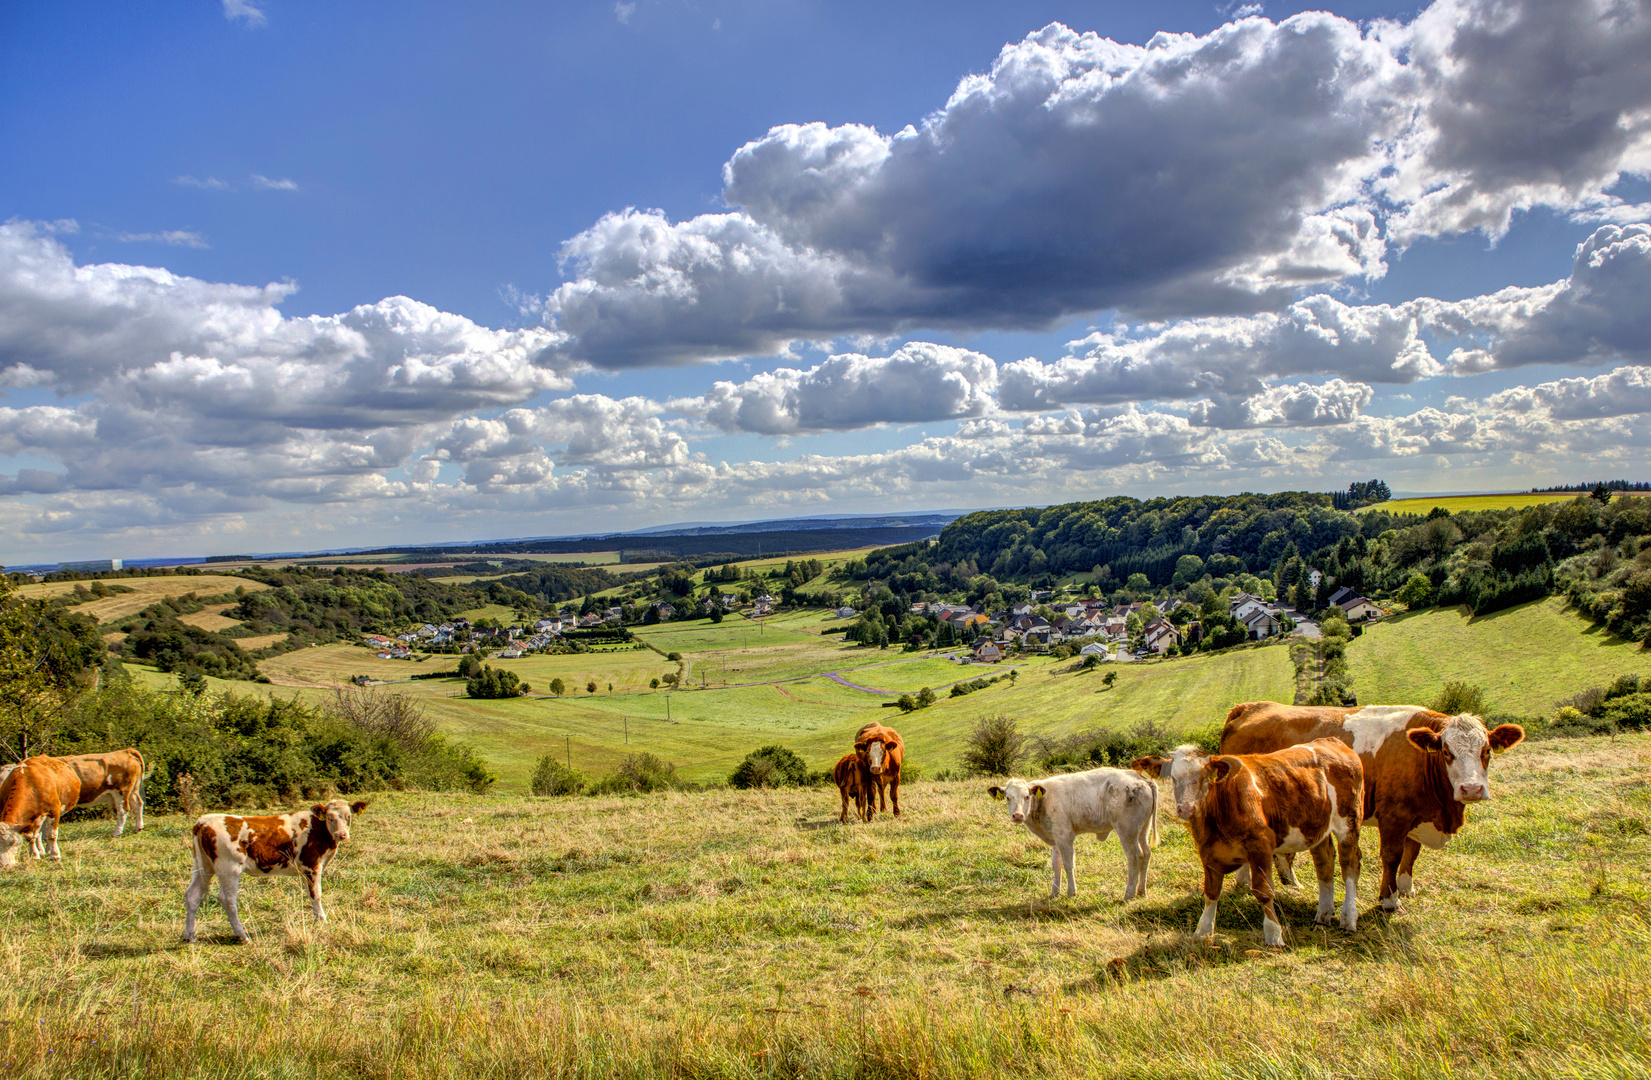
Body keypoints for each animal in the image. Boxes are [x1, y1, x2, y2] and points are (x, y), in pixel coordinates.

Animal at [185, 799, 369, 944]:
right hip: (230, 868)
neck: (318, 829)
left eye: (348, 816)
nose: (341, 834)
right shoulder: (311, 865)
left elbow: (309, 893)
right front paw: (322, 920)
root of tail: (203, 821)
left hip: (203, 866)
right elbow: (316, 894)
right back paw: (242, 936)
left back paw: (190, 936)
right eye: (330, 817)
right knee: (227, 899)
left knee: (193, 895)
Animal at [977, 769, 1162, 904]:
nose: (1017, 815)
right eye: (1008, 798)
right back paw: (1141, 891)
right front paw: (1054, 892)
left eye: (1027, 796)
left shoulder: (1064, 836)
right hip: (1142, 829)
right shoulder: (1055, 839)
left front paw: (1071, 892)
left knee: (1134, 856)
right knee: (1146, 853)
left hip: (1127, 830)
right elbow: (1056, 865)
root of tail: (1139, 778)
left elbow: (1068, 864)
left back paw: (1129, 894)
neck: (1044, 801)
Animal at [1135, 746, 1367, 951]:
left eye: (1205, 777)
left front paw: (1273, 935)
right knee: (1325, 865)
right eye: (1173, 778)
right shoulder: (1208, 852)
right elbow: (1211, 893)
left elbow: (1263, 891)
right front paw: (1203, 931)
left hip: (1349, 823)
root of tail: (1334, 743)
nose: (1186, 808)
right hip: (1318, 830)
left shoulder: (1260, 846)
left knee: (1349, 867)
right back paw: (1322, 917)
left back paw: (1348, 918)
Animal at [1221, 703, 1525, 911]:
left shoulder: (1416, 815)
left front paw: (1406, 888)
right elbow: (1392, 855)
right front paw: (1389, 900)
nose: (1471, 789)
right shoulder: (1394, 815)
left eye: (1487, 751)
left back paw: (1268, 882)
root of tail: (1251, 707)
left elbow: (1412, 853)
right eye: (1447, 752)